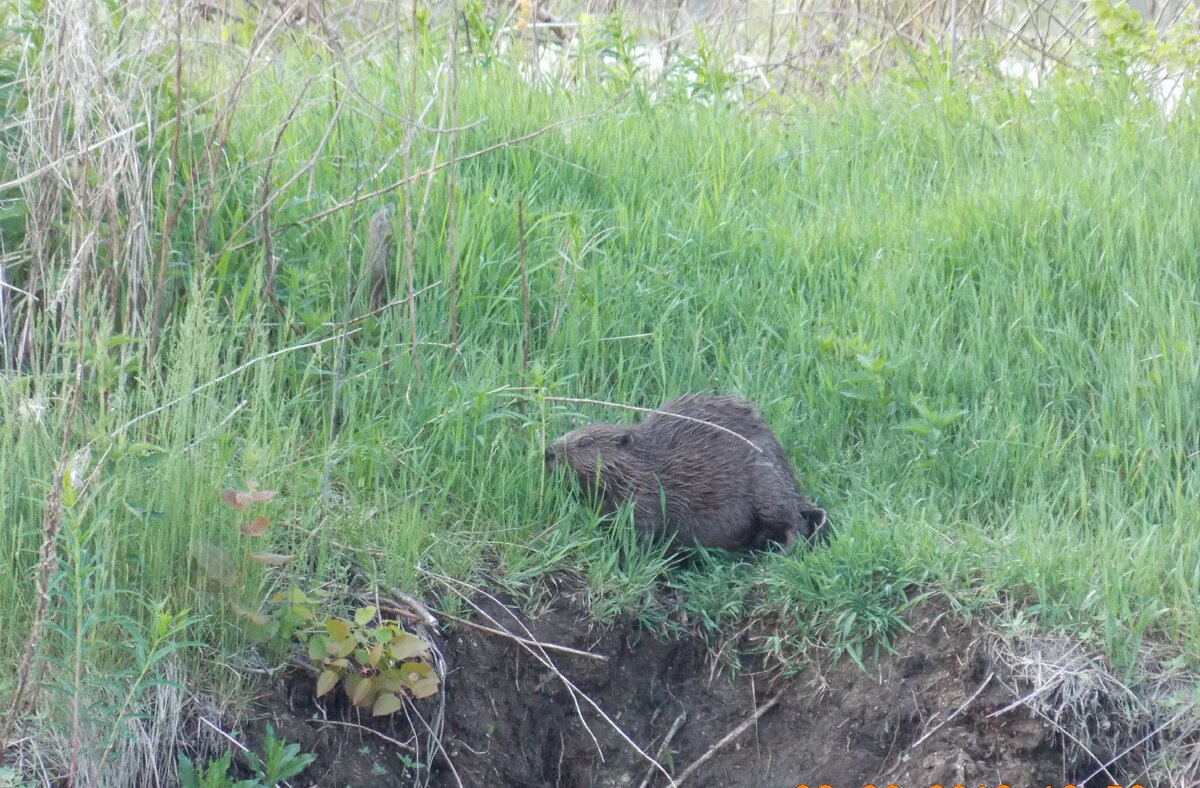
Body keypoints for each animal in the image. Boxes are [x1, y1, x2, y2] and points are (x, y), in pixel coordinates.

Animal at [544, 393, 825, 554]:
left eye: (585, 443)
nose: (548, 451)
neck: (645, 463)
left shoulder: (648, 496)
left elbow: (645, 530)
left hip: (766, 484)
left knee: (796, 522)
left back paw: (782, 551)